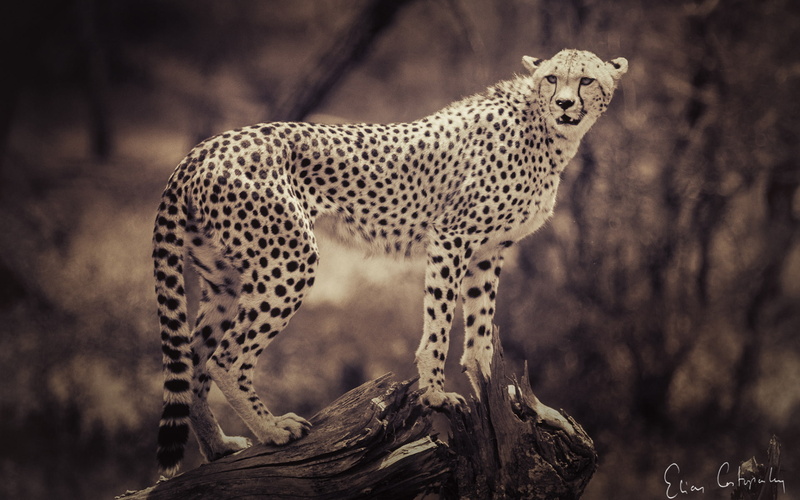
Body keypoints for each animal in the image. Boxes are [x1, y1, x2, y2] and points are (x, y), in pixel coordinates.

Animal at [153, 49, 628, 476]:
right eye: (552, 78)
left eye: (586, 80)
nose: (564, 103)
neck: (544, 130)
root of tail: (202, 148)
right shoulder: (452, 236)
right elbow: (439, 324)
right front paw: (435, 396)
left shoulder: (488, 251)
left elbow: (480, 330)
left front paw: (493, 389)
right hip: (288, 262)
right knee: (224, 358)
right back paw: (272, 431)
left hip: (227, 280)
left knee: (194, 357)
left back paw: (218, 446)